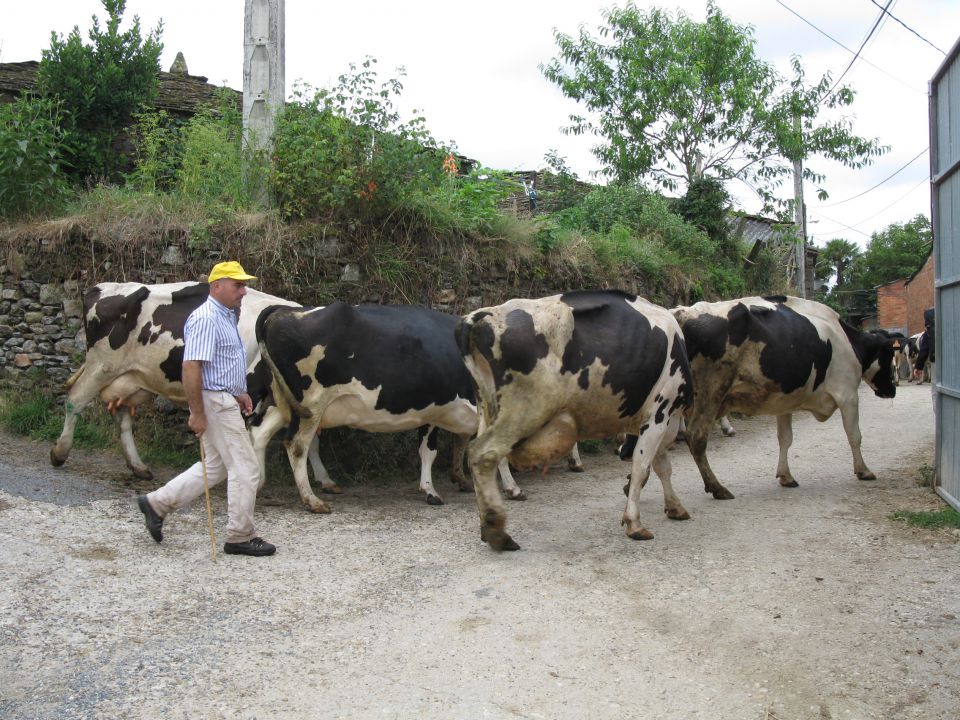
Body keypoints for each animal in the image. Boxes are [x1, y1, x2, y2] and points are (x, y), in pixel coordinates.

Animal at [255, 302, 520, 512]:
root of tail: (285, 310)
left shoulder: (435, 410)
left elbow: (432, 450)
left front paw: (436, 487)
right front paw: (511, 488)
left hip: (281, 400)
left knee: (259, 432)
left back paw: (257, 484)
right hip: (310, 403)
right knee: (296, 446)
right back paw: (311, 500)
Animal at [454, 290, 692, 548]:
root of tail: (479, 316)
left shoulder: (662, 420)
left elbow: (662, 466)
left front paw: (675, 507)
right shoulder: (660, 413)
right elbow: (643, 468)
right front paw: (634, 523)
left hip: (488, 408)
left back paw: (487, 525)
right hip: (524, 411)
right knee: (483, 454)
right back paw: (498, 532)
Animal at [668, 294, 900, 500]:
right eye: (889, 355)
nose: (892, 389)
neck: (846, 339)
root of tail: (683, 312)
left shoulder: (784, 403)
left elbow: (785, 439)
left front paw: (785, 476)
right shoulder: (848, 394)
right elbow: (854, 435)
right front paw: (864, 471)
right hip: (711, 391)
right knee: (696, 436)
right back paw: (717, 487)